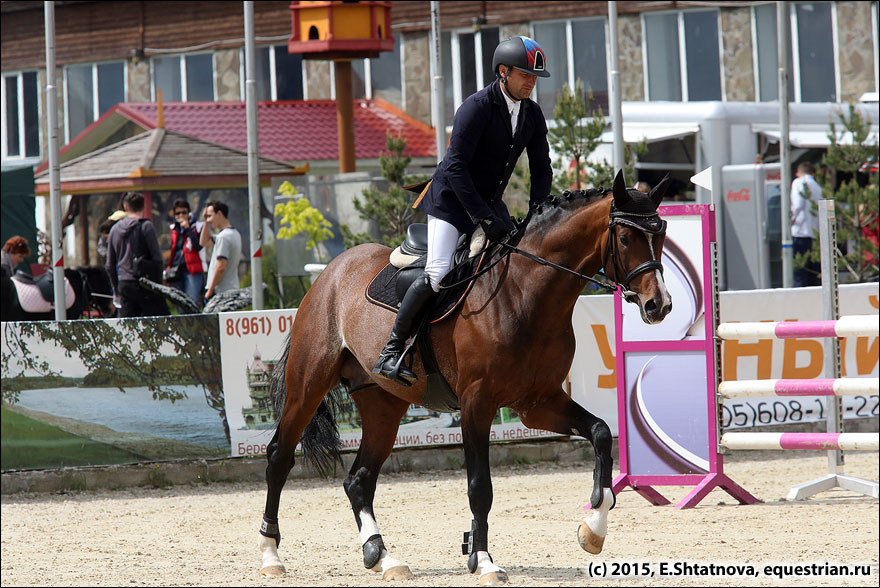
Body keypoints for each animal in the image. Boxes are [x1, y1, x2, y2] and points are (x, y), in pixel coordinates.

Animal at [258, 171, 672, 584]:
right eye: (625, 238)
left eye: (663, 234)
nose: (659, 305)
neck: (525, 294)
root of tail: (333, 269)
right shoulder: (477, 403)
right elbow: (480, 487)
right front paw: (484, 561)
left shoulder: (538, 403)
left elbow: (601, 433)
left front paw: (594, 530)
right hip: (308, 385)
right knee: (280, 457)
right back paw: (270, 554)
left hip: (383, 403)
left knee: (359, 479)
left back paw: (383, 557)